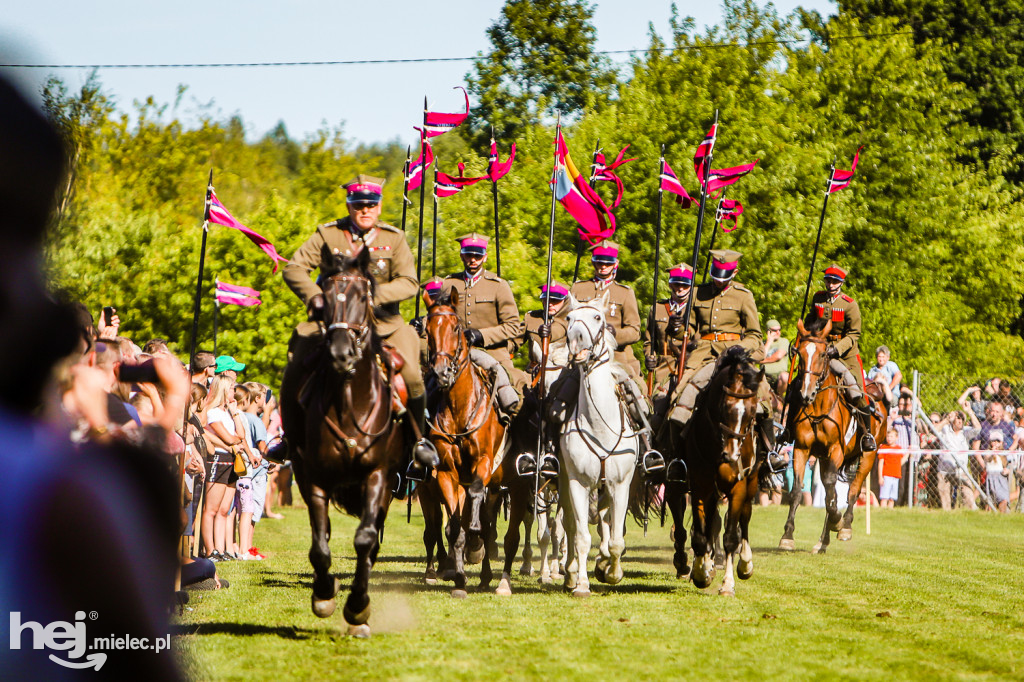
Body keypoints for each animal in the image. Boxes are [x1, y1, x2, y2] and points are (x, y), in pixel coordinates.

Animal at [284, 249, 407, 638]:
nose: (341, 353)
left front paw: (357, 608)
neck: (351, 398)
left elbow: (365, 540)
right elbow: (320, 547)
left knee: (372, 541)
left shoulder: (378, 476)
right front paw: (324, 595)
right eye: (325, 297)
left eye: (363, 297)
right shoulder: (313, 478)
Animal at [419, 290, 528, 593]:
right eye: (427, 330)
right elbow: (454, 527)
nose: (442, 372)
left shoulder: (484, 462)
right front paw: (458, 579)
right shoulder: (445, 473)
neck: (460, 407)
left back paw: (501, 579)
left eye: (456, 328)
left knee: (509, 535)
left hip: (517, 486)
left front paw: (476, 543)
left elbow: (477, 505)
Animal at [561, 292, 638, 593]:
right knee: (571, 528)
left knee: (606, 524)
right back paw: (571, 573)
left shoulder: (621, 485)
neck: (599, 425)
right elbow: (581, 537)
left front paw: (613, 573)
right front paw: (581, 584)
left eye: (597, 317)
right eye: (569, 318)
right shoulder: (576, 484)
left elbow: (617, 540)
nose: (576, 338)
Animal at [667, 348, 765, 593]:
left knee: (744, 520)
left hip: (752, 481)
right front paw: (701, 572)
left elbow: (730, 536)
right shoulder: (700, 485)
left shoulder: (739, 486)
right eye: (725, 406)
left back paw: (745, 564)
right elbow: (700, 535)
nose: (731, 456)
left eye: (752, 411)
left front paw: (728, 583)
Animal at [778, 317, 884, 552]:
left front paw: (838, 521)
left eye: (823, 354)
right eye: (800, 354)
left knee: (852, 490)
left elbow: (832, 493)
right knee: (832, 491)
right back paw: (823, 541)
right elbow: (798, 490)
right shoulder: (802, 449)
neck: (818, 406)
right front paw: (787, 535)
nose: (806, 393)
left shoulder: (837, 451)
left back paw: (844, 527)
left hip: (868, 456)